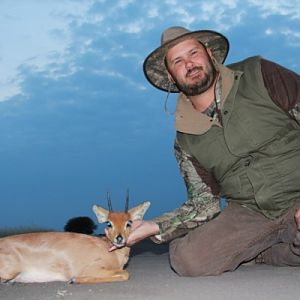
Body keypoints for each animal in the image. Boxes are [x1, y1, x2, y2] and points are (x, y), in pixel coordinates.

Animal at [0, 195, 150, 284]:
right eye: (109, 223)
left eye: (129, 222)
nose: (119, 238)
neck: (112, 253)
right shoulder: (93, 268)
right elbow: (125, 274)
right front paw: (74, 279)